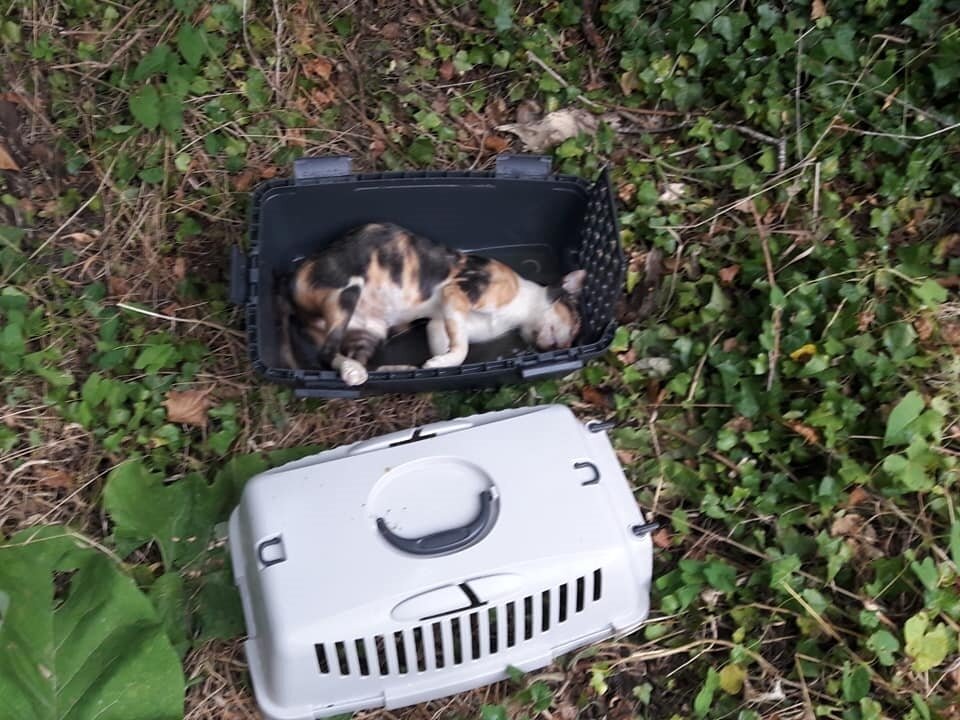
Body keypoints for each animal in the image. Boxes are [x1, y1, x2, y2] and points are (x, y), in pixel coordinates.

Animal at [278, 222, 584, 386]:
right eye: (575, 323)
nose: (570, 346)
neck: (518, 314)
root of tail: (288, 285)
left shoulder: (439, 324)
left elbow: (451, 346)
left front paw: (435, 364)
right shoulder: (457, 291)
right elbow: (461, 349)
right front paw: (442, 361)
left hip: (370, 331)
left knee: (352, 358)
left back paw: (393, 370)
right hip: (348, 292)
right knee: (326, 353)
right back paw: (354, 373)